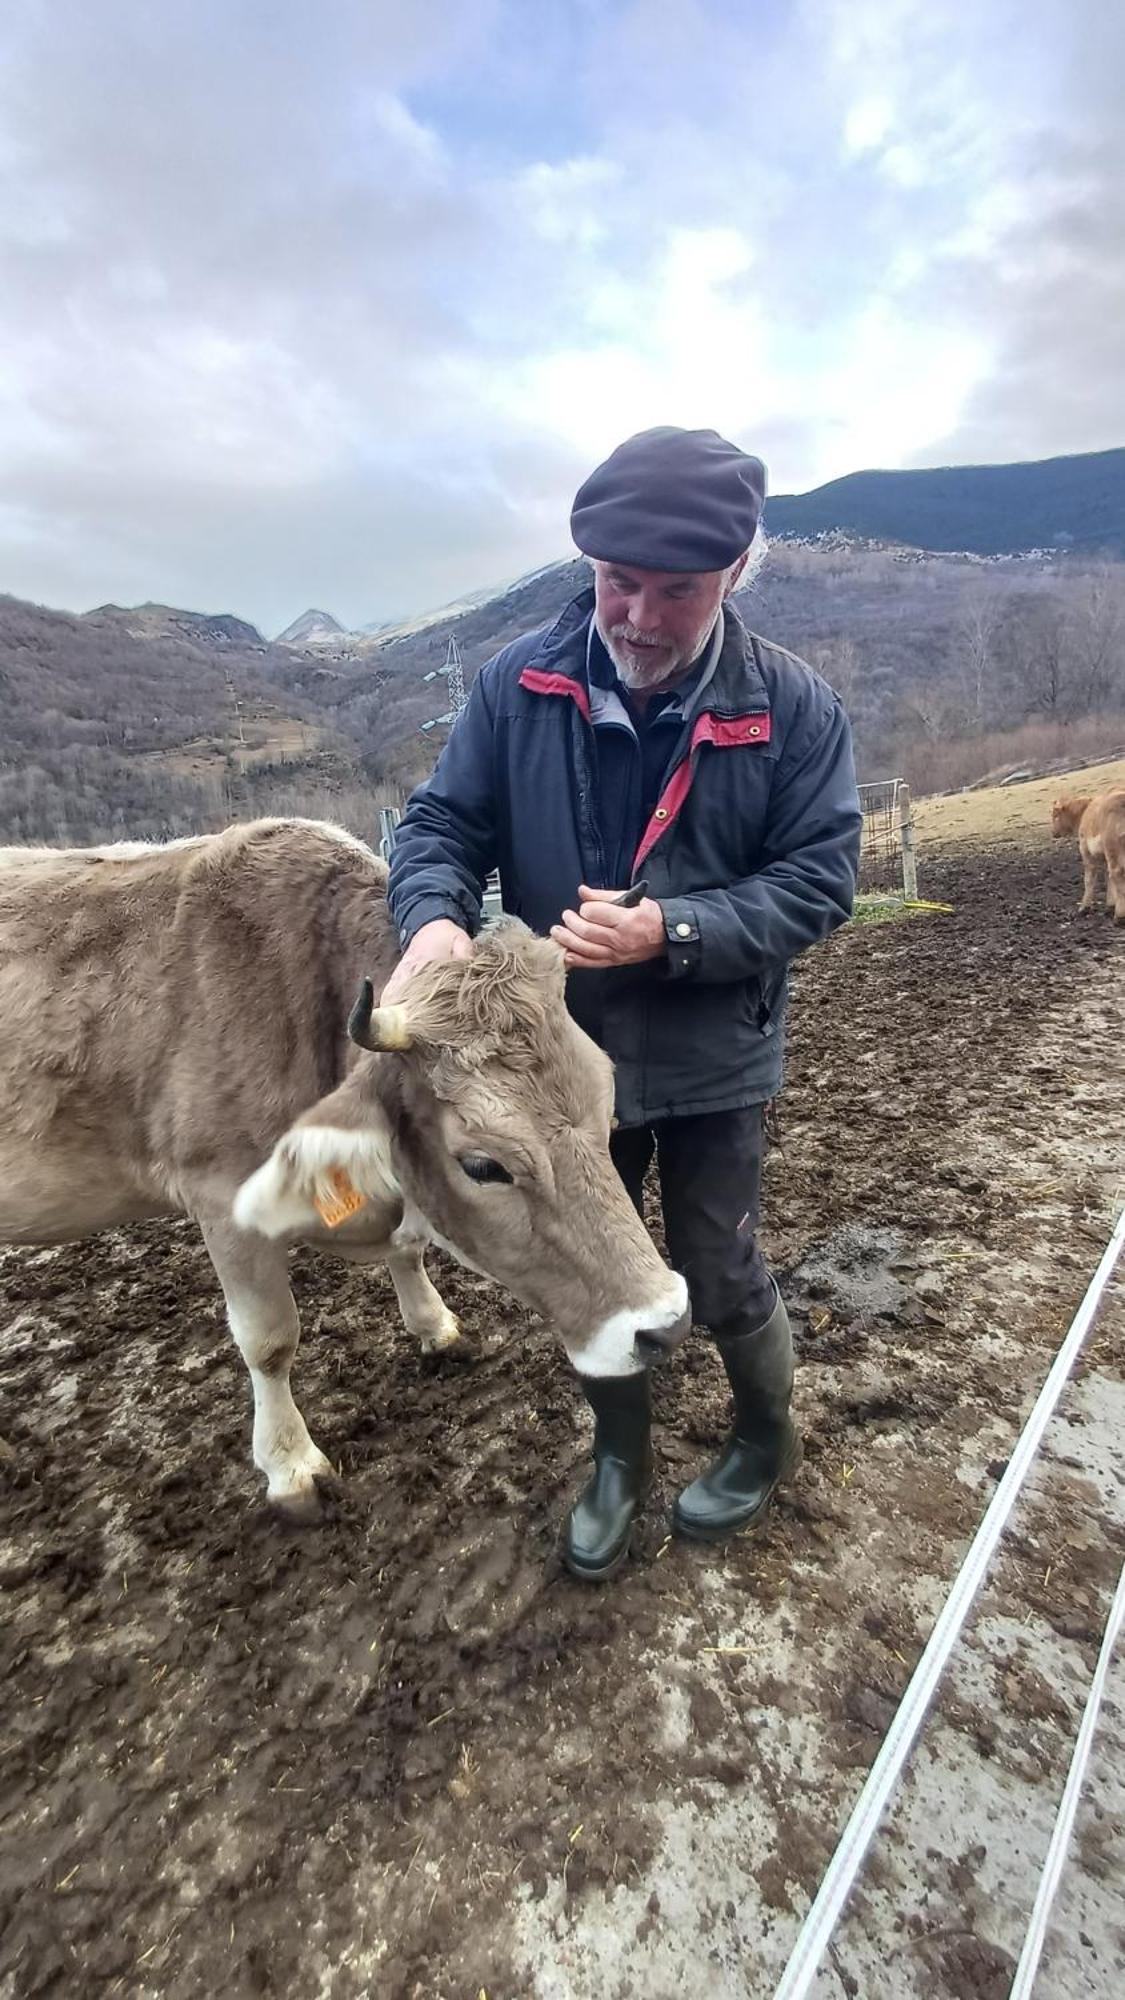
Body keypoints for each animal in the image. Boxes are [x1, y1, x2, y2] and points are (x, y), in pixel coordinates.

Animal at [0, 820, 688, 1504]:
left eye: (607, 1109)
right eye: (483, 1166)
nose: (666, 1323)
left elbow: (408, 1248)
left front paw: (434, 1326)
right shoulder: (221, 1197)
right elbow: (269, 1339)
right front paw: (290, 1464)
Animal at [1048, 788, 1120, 928]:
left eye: (1055, 816)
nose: (1053, 833)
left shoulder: (1086, 852)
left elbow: (1089, 880)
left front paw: (1084, 908)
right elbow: (1108, 877)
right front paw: (1110, 905)